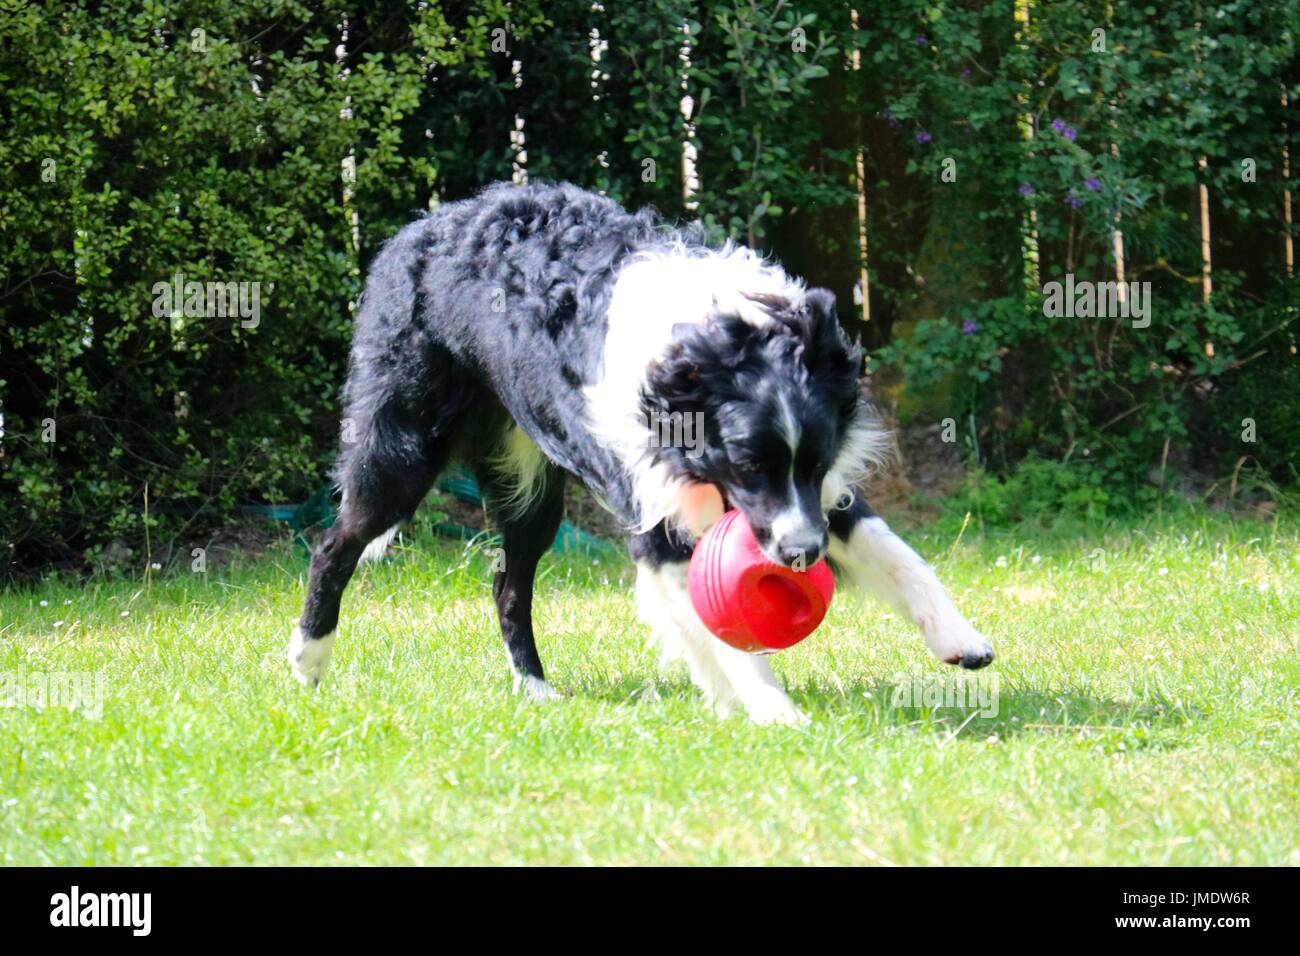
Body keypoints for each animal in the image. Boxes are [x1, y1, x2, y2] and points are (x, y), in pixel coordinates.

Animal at [287, 183, 993, 723]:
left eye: (816, 461)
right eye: (748, 465)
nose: (801, 557)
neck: (712, 347)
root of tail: (420, 226)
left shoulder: (814, 497)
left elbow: (897, 554)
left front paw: (961, 639)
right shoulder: (665, 518)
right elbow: (728, 633)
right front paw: (774, 710)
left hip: (530, 486)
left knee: (507, 582)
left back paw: (535, 688)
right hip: (402, 445)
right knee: (335, 545)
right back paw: (307, 660)